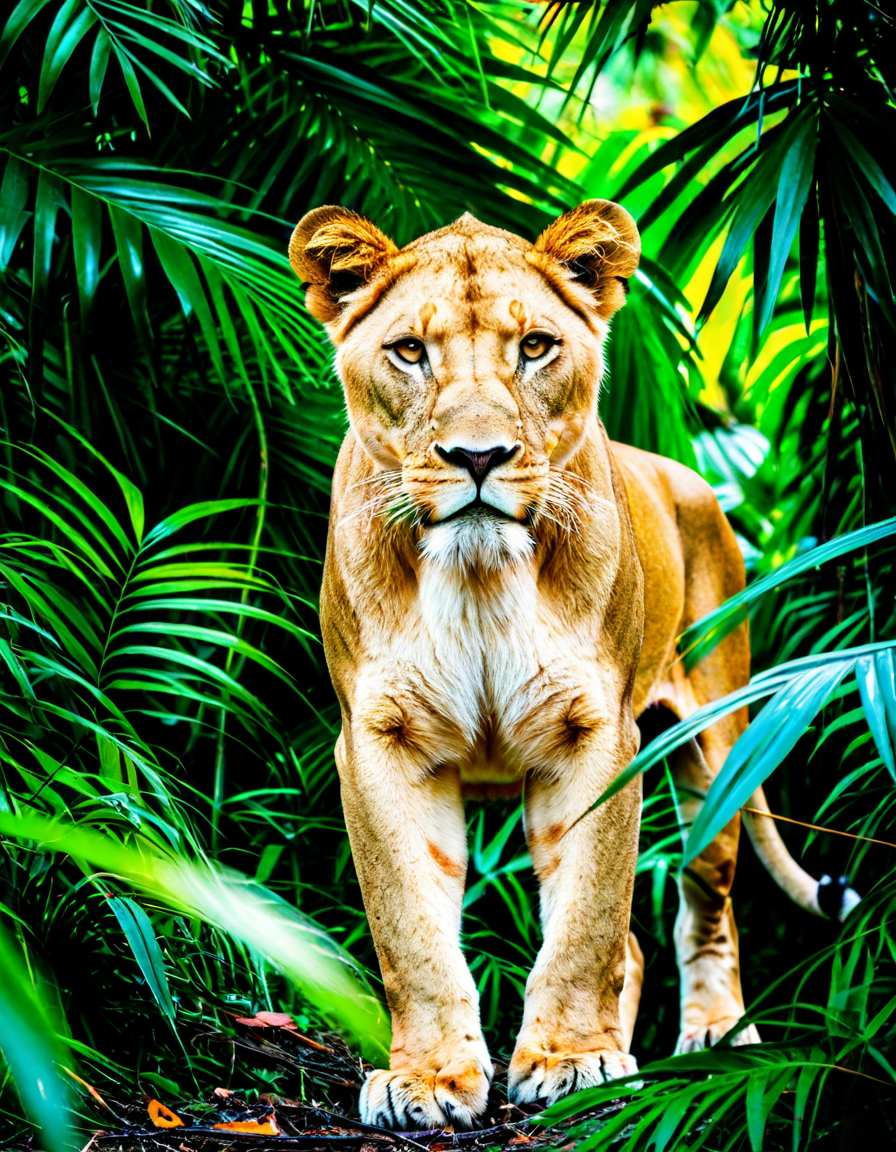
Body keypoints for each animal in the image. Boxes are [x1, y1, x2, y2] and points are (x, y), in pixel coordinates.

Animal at [288, 201, 859, 1130]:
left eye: (535, 347)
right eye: (409, 351)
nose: (477, 457)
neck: (479, 578)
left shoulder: (595, 734)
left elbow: (588, 917)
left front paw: (571, 1061)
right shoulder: (379, 742)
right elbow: (410, 926)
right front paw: (429, 1078)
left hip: (720, 741)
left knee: (705, 902)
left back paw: (711, 1039)